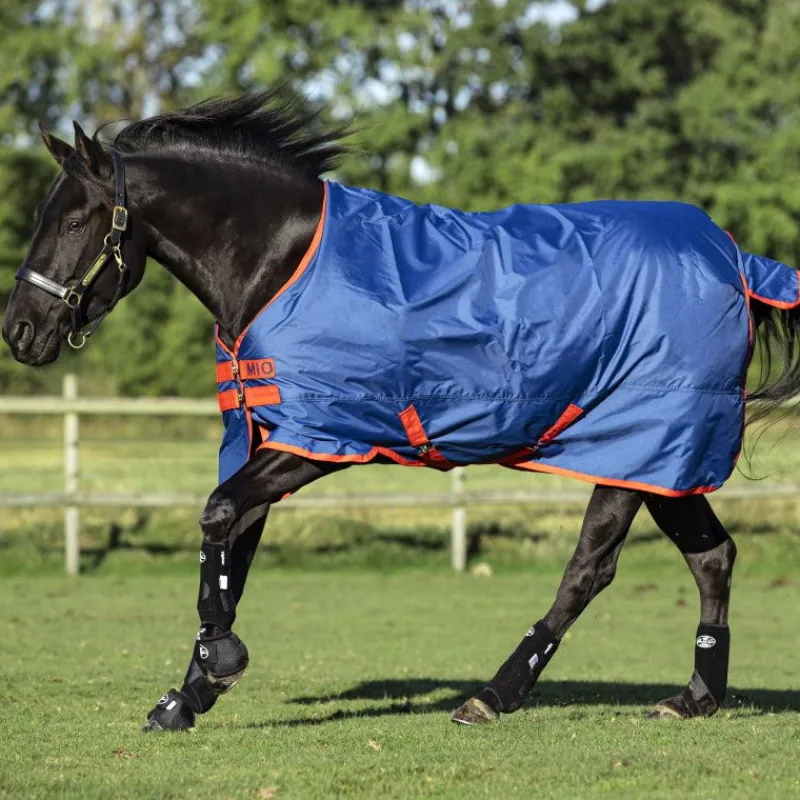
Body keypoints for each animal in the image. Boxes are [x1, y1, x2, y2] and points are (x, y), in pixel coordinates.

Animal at [4, 91, 800, 731]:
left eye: (73, 220)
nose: (19, 330)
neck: (281, 262)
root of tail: (733, 260)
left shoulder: (319, 441)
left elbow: (216, 517)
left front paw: (219, 662)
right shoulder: (263, 439)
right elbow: (230, 547)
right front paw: (189, 694)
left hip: (633, 450)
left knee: (590, 569)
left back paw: (494, 695)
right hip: (663, 464)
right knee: (712, 558)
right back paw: (695, 697)